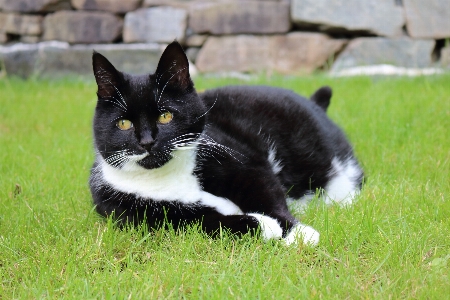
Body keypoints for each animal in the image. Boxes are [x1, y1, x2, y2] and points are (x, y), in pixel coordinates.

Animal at [89, 40, 364, 246]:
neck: (168, 177)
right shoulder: (136, 214)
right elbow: (201, 222)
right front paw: (264, 226)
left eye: (165, 116)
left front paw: (296, 232)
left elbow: (267, 194)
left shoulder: (243, 162)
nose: (147, 141)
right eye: (124, 123)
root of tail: (314, 102)